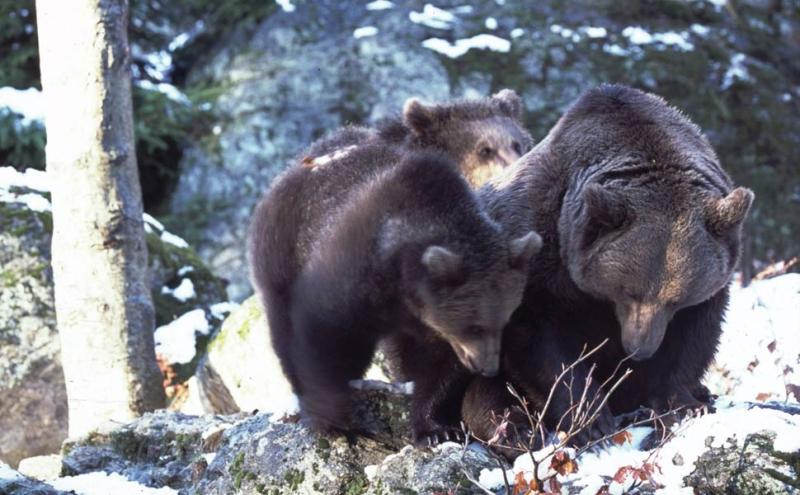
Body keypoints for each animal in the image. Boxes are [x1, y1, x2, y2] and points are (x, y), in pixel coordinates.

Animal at [248, 123, 541, 440]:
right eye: (475, 324)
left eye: (505, 319)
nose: (487, 367)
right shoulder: (352, 273)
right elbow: (326, 336)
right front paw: (331, 419)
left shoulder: (431, 322)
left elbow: (435, 368)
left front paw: (434, 428)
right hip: (281, 254)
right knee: (283, 325)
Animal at [460, 84, 754, 450]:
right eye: (628, 292)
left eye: (675, 300)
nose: (640, 349)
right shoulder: (535, 245)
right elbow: (536, 337)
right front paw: (591, 419)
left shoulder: (712, 283)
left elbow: (695, 335)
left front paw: (681, 403)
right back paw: (515, 429)